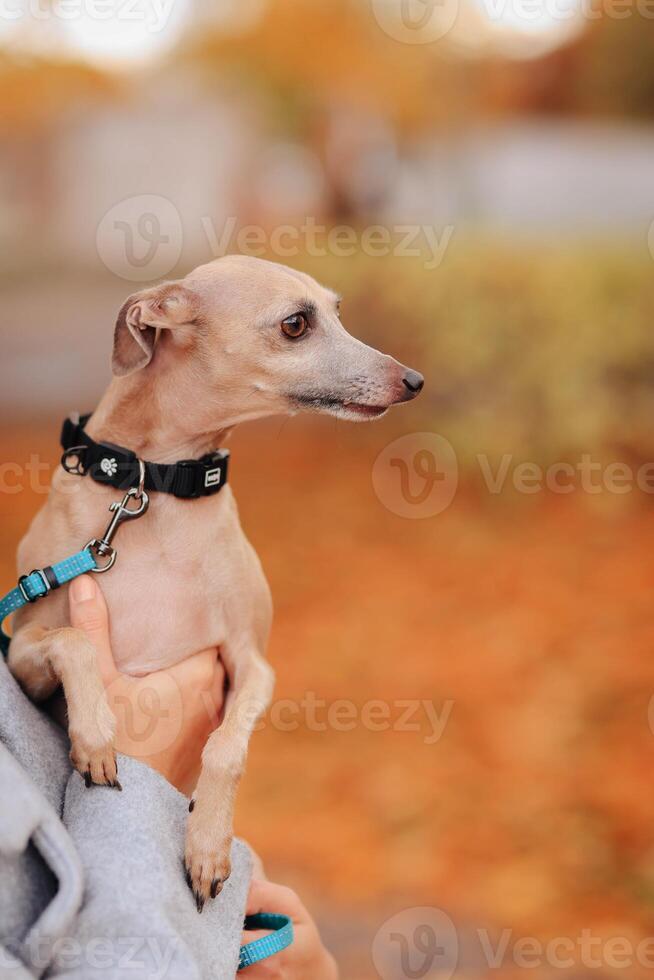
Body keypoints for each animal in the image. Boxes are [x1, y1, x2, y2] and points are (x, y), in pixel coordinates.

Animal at [7, 253, 426, 904]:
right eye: (296, 323)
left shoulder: (251, 662)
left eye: (337, 311)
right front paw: (96, 737)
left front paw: (207, 845)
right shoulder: (23, 651)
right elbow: (72, 640)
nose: (412, 380)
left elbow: (227, 747)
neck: (152, 487)